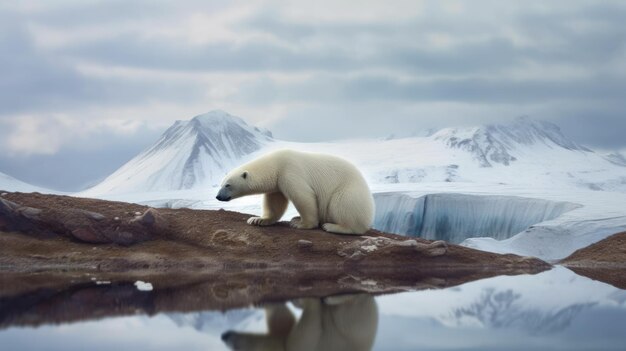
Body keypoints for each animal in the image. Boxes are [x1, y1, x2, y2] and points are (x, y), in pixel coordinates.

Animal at [216, 149, 370, 235]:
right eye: (221, 184)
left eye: (228, 185)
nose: (218, 196)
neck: (276, 164)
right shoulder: (278, 182)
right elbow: (274, 202)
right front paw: (258, 220)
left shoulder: (290, 172)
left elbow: (303, 196)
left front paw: (300, 224)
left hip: (349, 191)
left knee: (342, 204)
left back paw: (332, 226)